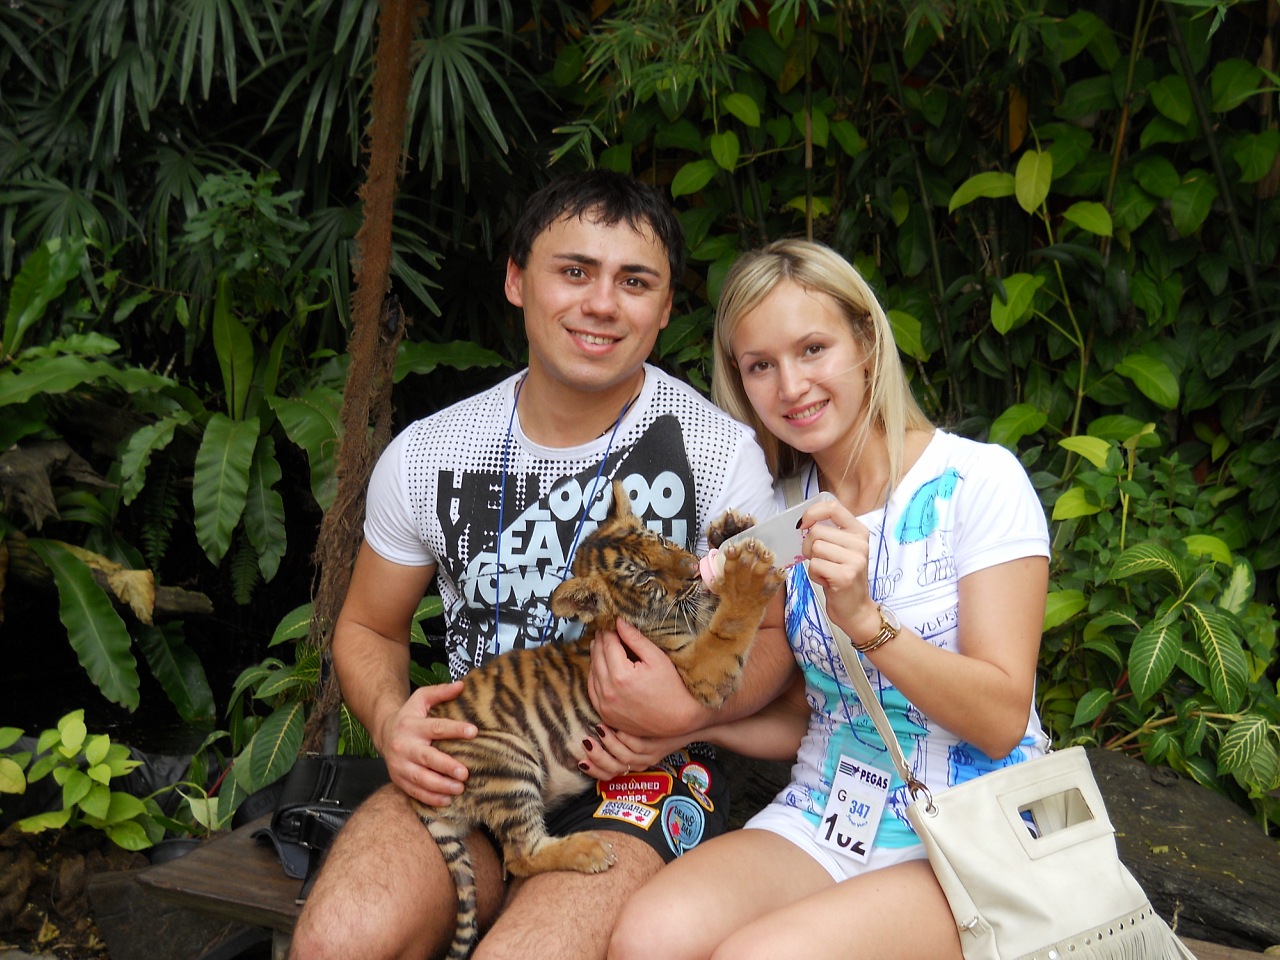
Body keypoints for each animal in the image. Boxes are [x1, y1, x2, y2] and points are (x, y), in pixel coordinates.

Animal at [411, 479, 784, 959]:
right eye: (644, 577)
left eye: (661, 541)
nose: (694, 571)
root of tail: (421, 801)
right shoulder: (693, 673)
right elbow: (730, 626)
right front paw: (747, 578)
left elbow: (713, 608)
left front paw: (730, 531)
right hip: (509, 758)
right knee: (520, 855)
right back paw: (588, 850)